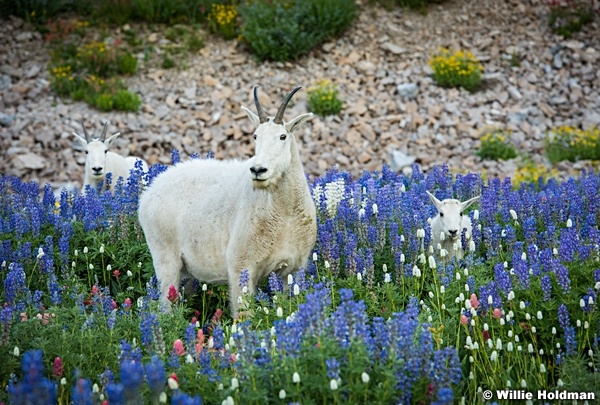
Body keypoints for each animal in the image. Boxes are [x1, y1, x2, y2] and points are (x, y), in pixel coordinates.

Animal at [138, 87, 318, 318]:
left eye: (282, 136)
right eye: (255, 136)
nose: (258, 170)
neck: (284, 211)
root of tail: (147, 195)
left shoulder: (293, 268)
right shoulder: (241, 265)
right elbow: (243, 315)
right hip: (164, 256)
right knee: (165, 306)